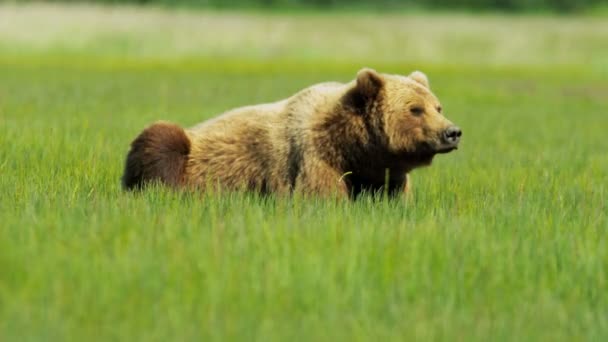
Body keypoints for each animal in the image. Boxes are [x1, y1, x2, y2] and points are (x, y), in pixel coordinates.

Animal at [122, 67, 460, 198]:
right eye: (415, 109)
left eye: (438, 106)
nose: (452, 132)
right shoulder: (314, 157)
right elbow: (320, 197)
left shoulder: (384, 174)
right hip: (188, 150)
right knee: (160, 141)